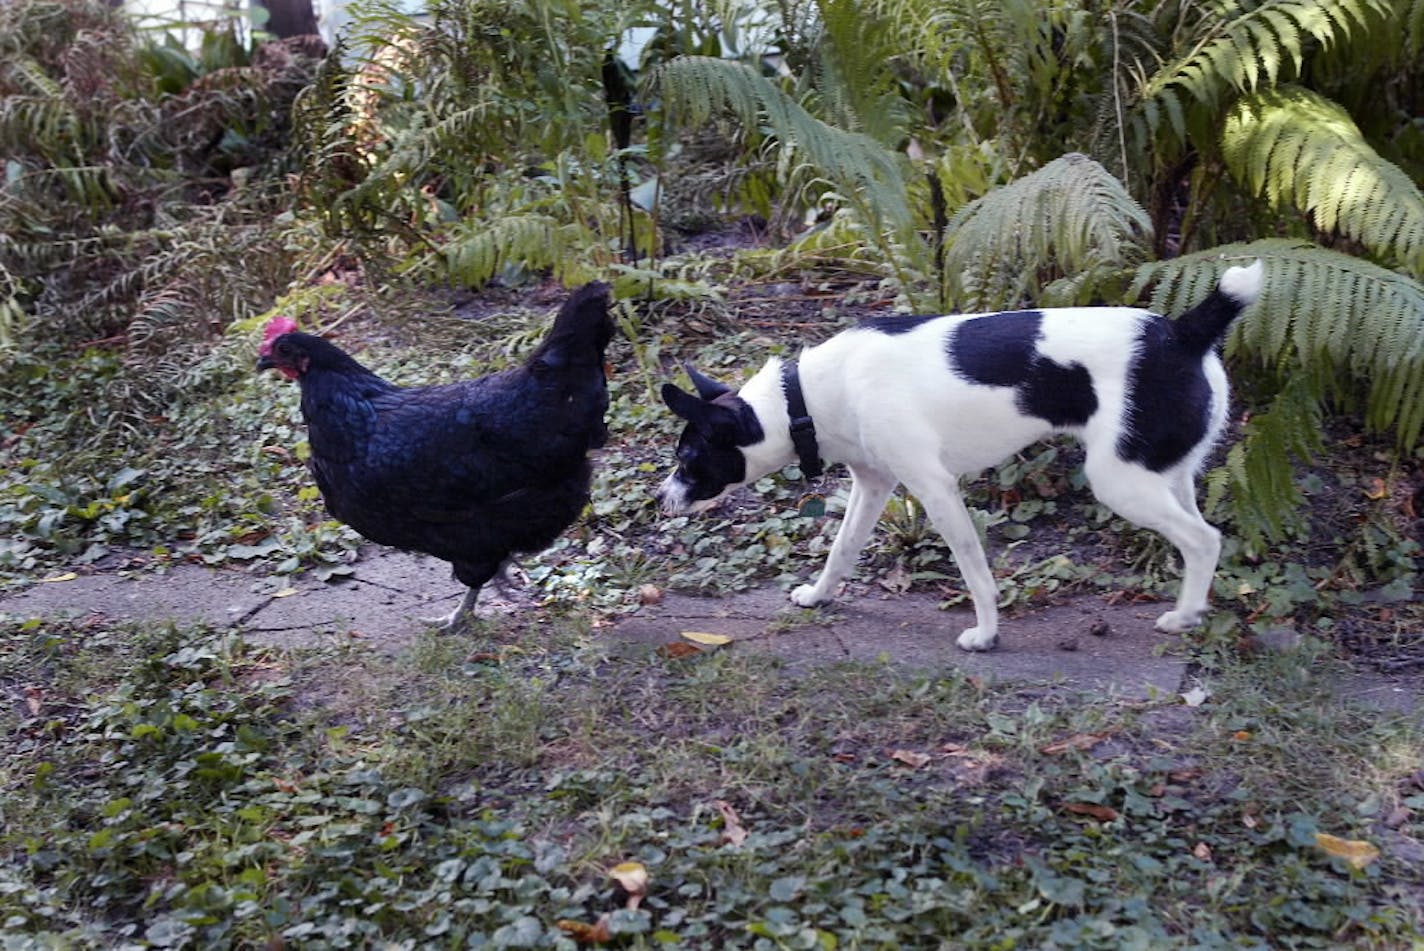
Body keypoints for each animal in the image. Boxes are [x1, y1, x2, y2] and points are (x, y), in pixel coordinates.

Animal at [660, 261, 1264, 654]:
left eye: (688, 458)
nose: (663, 497)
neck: (803, 396)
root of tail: (1182, 332)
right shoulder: (873, 486)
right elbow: (842, 550)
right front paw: (817, 595)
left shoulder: (935, 489)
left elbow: (973, 569)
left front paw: (987, 633)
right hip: (1167, 474)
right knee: (1198, 538)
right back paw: (1194, 610)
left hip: (1120, 482)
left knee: (1204, 540)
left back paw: (1183, 616)